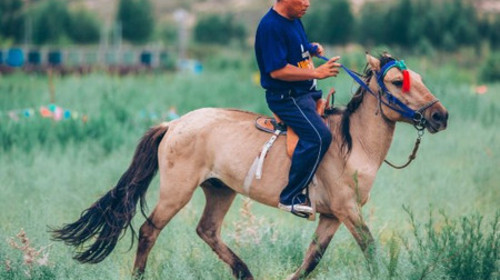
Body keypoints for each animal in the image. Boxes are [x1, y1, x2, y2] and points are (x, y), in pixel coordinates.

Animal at [51, 53, 450, 278]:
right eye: (397, 81)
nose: (440, 116)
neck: (353, 144)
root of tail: (174, 123)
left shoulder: (332, 216)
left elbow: (311, 259)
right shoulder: (347, 210)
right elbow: (370, 249)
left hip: (220, 189)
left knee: (207, 231)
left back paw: (244, 272)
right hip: (178, 190)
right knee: (150, 230)